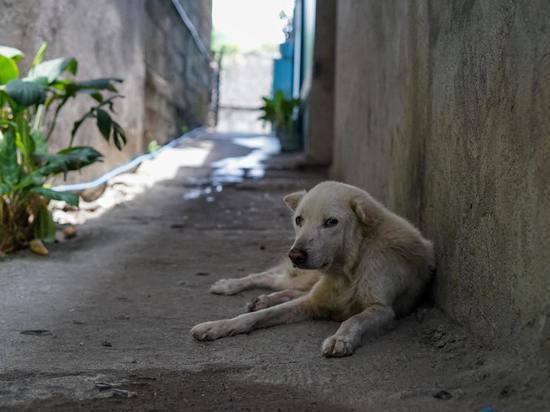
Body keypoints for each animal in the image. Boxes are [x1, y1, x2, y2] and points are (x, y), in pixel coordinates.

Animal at [192, 181, 438, 358]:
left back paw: (262, 298)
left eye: (331, 222)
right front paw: (217, 326)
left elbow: (354, 319)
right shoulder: (311, 301)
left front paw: (340, 339)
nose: (295, 255)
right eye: (299, 220)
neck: (347, 271)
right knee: (269, 277)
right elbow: (255, 316)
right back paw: (229, 286)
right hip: (302, 276)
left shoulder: (383, 310)